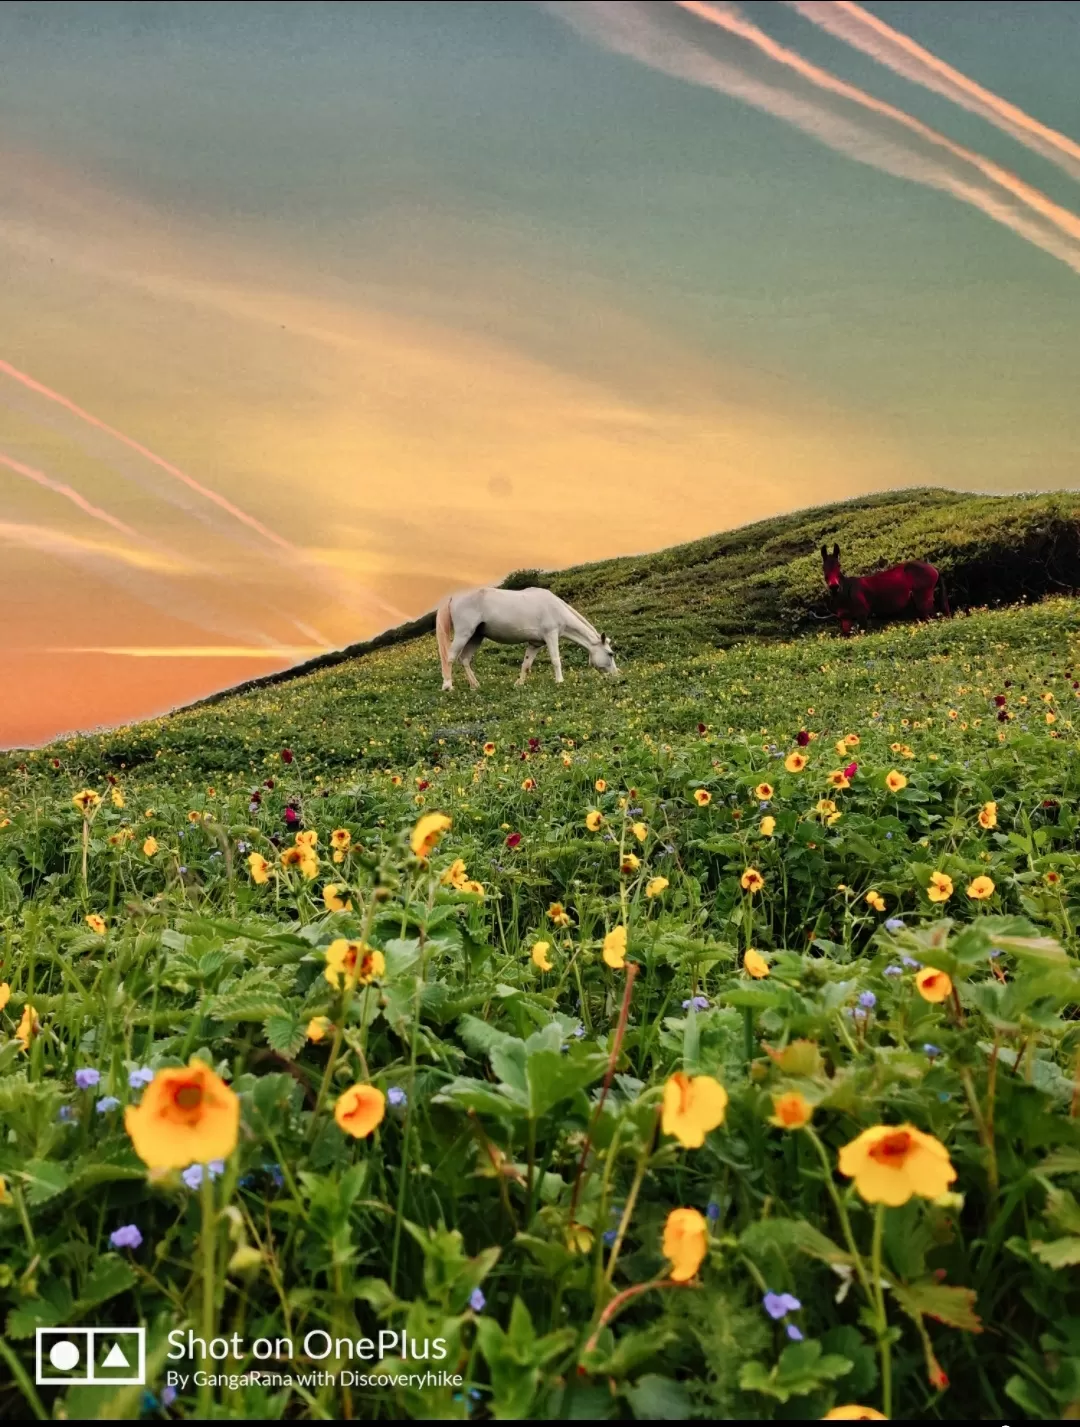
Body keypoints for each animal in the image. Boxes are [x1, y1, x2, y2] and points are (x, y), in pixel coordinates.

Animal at [430, 582, 616, 687]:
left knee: (465, 659)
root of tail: (453, 597)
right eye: (610, 654)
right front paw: (560, 681)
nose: (617, 674)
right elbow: (556, 660)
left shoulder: (535, 644)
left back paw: (475, 685)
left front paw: (519, 683)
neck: (556, 608)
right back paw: (448, 686)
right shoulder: (551, 635)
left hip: (476, 636)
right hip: (464, 633)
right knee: (450, 658)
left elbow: (526, 664)